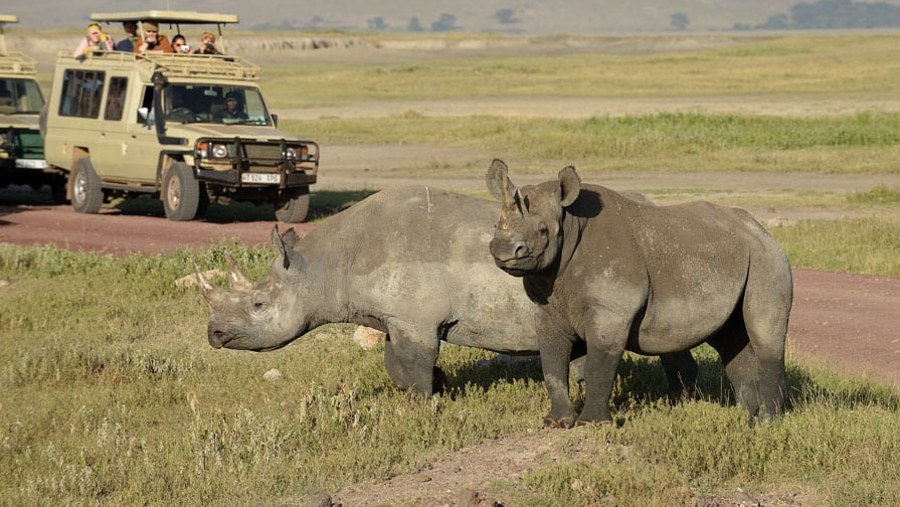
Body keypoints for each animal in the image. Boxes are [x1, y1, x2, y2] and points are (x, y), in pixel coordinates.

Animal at [204, 187, 696, 400]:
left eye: (258, 305)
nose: (213, 335)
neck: (324, 267)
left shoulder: (415, 319)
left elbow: (415, 363)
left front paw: (425, 402)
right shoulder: (396, 318)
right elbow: (397, 363)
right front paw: (435, 390)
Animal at [488, 161, 792, 426]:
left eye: (543, 231)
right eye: (495, 226)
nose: (502, 250)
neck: (571, 223)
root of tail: (762, 231)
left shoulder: (612, 311)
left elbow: (598, 365)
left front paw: (592, 424)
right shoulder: (547, 307)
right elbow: (552, 364)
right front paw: (556, 422)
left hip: (767, 259)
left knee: (764, 335)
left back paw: (766, 424)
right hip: (735, 257)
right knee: (729, 338)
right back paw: (745, 417)